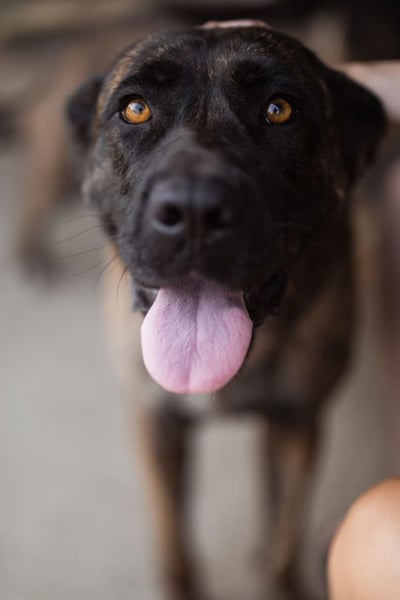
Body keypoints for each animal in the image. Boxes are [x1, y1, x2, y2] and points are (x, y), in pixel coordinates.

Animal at [66, 21, 385, 599]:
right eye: (135, 109)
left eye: (279, 109)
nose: (194, 210)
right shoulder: (157, 424)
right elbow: (173, 544)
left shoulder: (297, 422)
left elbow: (283, 537)